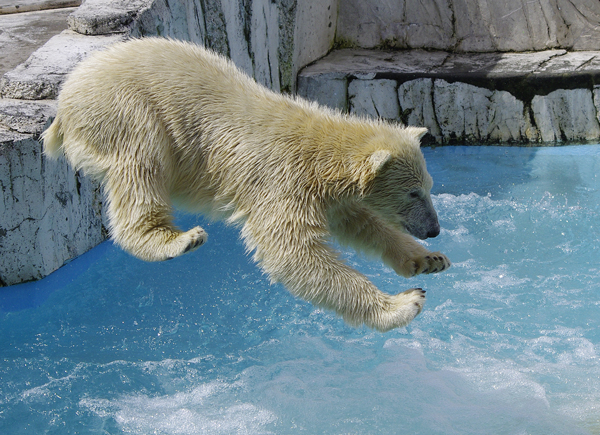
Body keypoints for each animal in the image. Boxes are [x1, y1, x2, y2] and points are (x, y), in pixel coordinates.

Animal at [43, 38, 450, 330]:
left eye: (429, 187)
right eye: (413, 192)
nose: (434, 229)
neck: (321, 150)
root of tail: (65, 100)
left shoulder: (328, 196)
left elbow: (363, 224)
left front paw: (428, 260)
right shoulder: (282, 180)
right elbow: (291, 252)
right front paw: (404, 303)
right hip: (124, 107)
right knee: (140, 165)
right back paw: (177, 240)